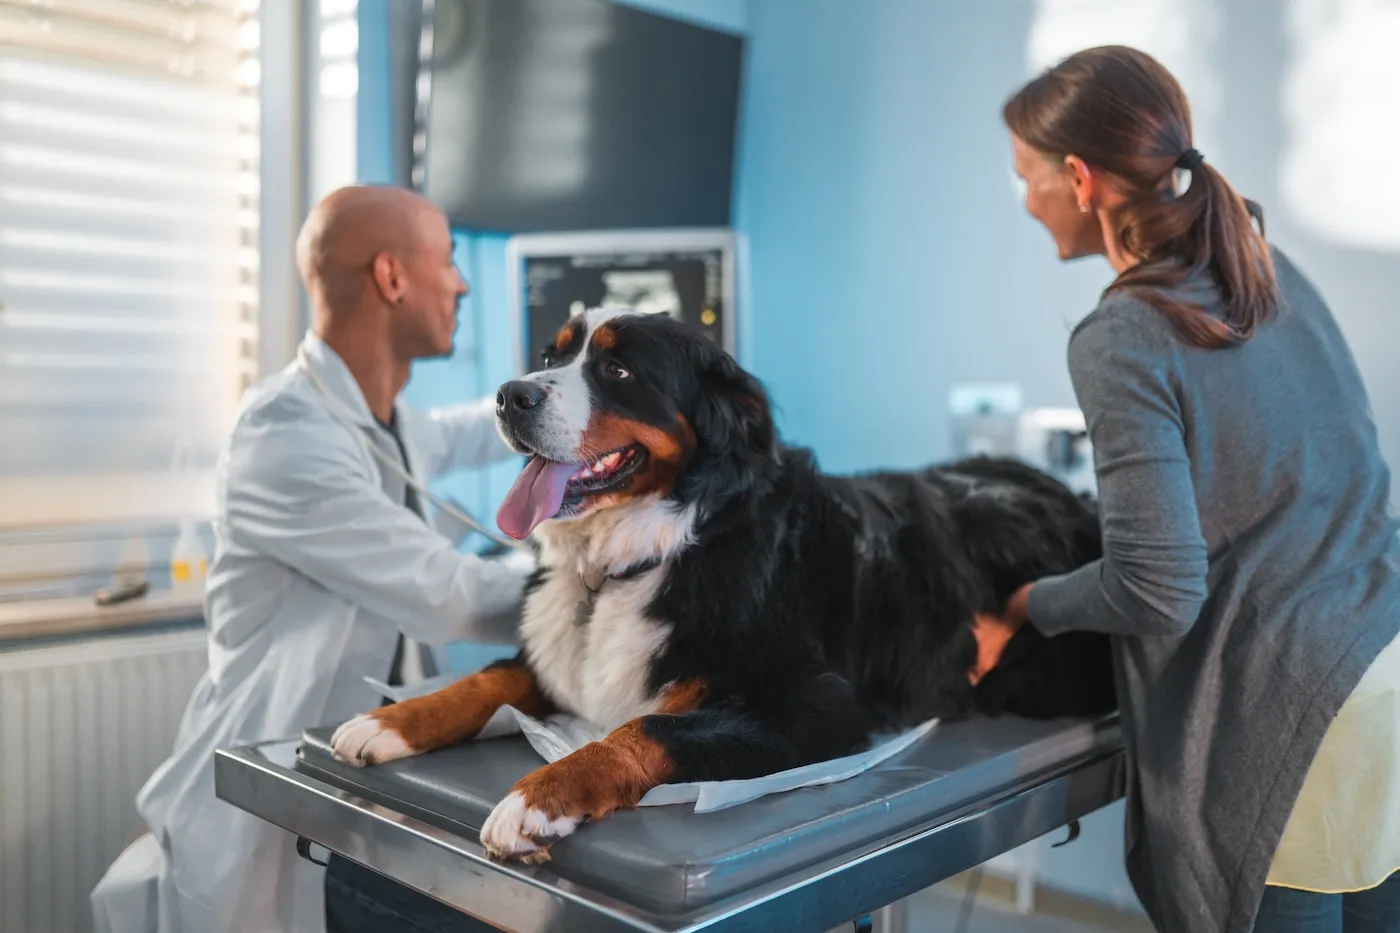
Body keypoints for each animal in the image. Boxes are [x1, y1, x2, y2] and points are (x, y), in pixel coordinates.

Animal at [330, 305, 1114, 857]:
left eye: (617, 371)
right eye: (553, 356)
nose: (508, 394)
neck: (642, 556)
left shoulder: (818, 706)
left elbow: (644, 727)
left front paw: (540, 796)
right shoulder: (552, 658)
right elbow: (485, 679)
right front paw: (390, 720)